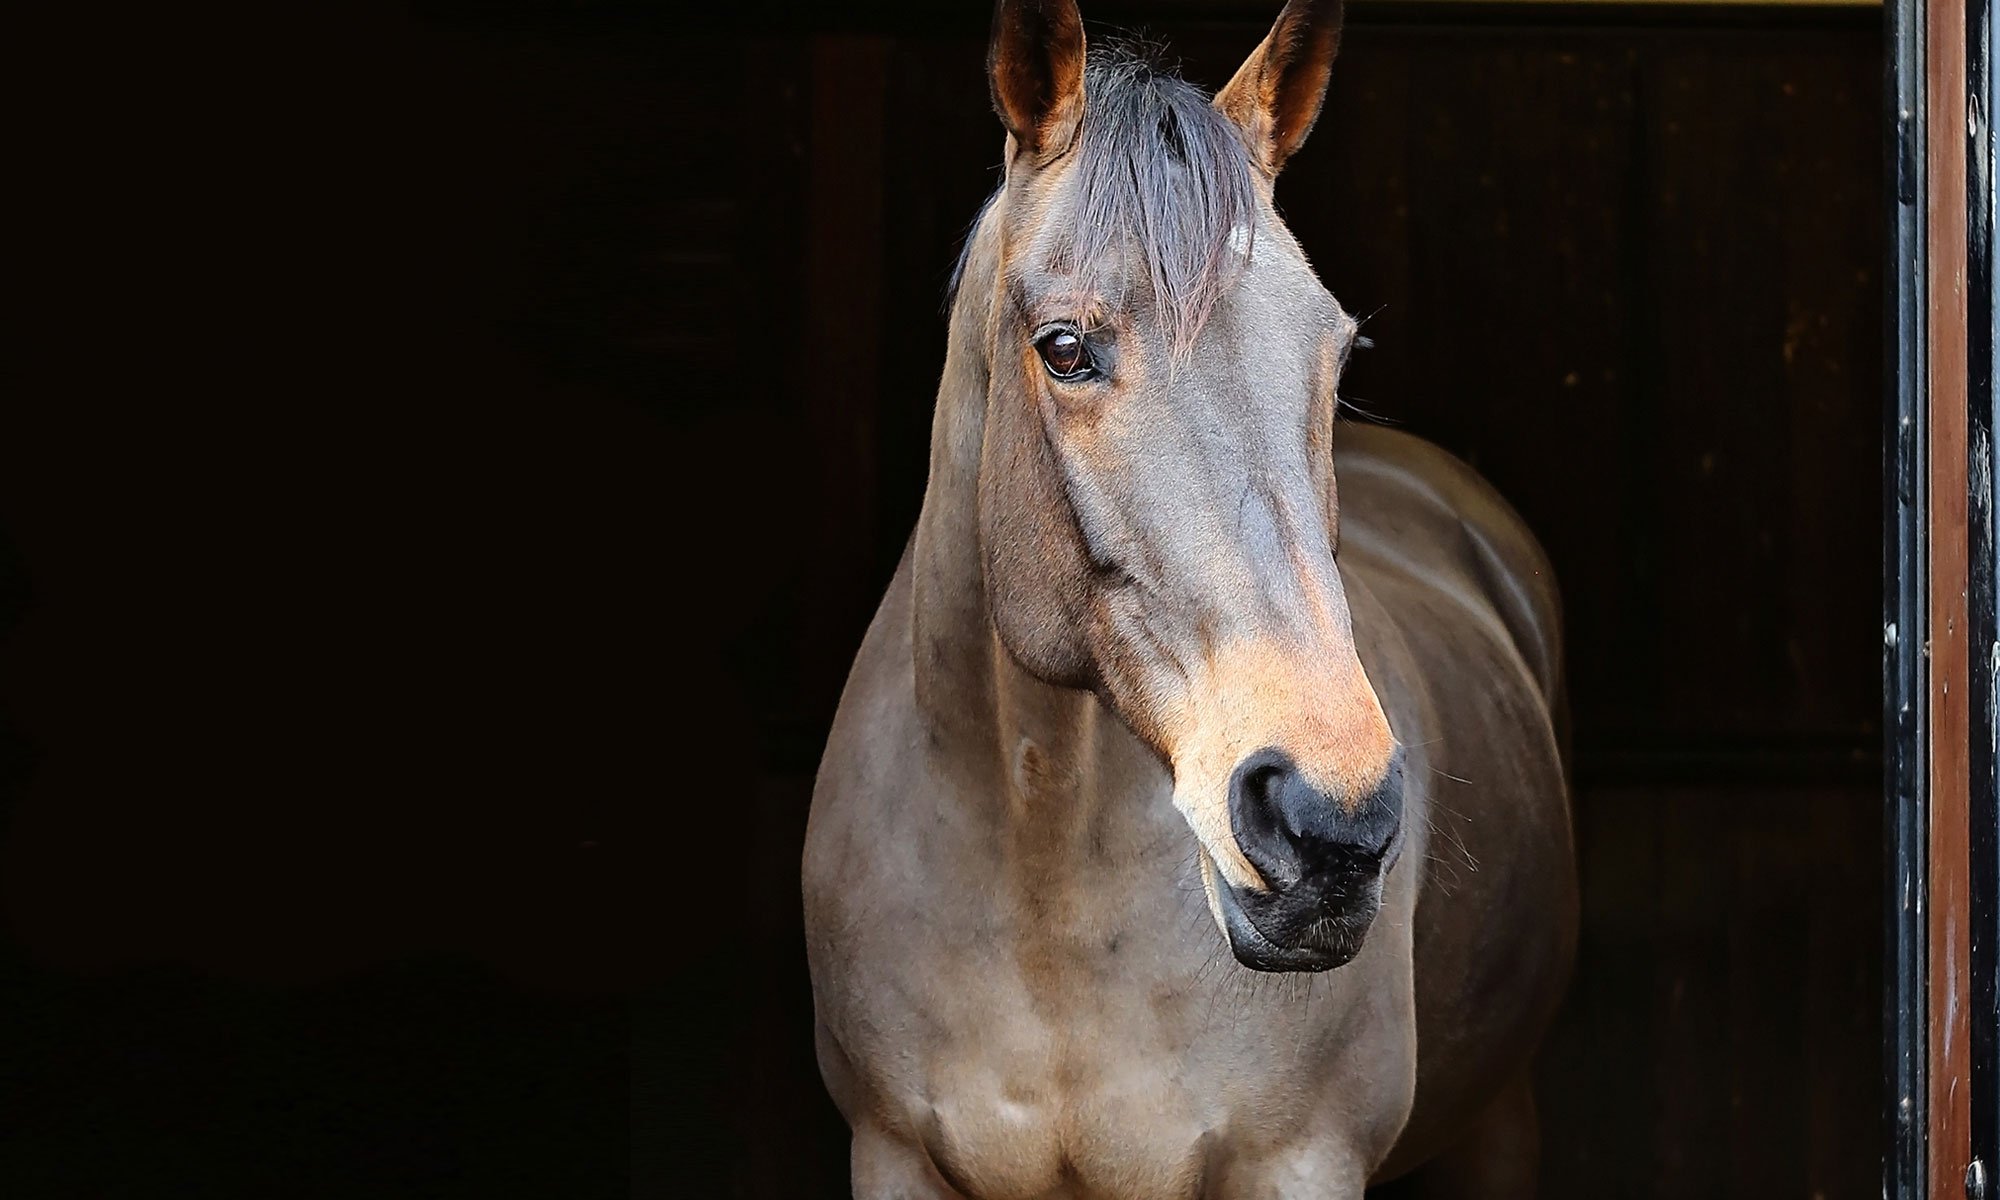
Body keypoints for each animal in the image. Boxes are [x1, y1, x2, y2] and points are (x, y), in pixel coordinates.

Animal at [803, 1, 1577, 1194]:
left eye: (1334, 353)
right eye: (1063, 348)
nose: (1331, 826)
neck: (1041, 882)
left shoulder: (1298, 1159)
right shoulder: (891, 1154)